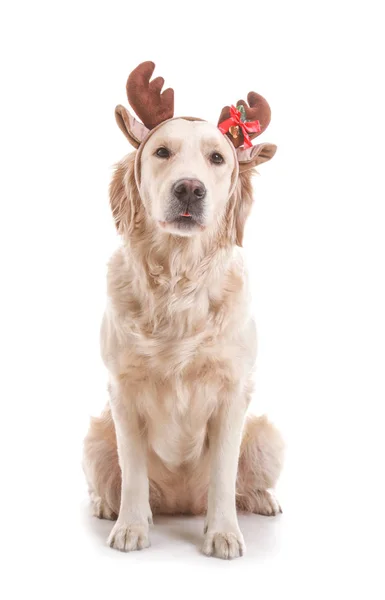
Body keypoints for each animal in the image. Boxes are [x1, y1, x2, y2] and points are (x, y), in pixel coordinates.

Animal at [82, 63, 284, 560]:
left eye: (217, 158)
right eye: (161, 152)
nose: (190, 189)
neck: (177, 280)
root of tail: (181, 504)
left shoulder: (233, 393)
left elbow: (223, 475)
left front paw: (223, 533)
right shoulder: (122, 392)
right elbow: (133, 472)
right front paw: (131, 527)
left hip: (266, 434)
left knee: (242, 483)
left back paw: (261, 500)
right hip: (95, 439)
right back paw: (106, 506)